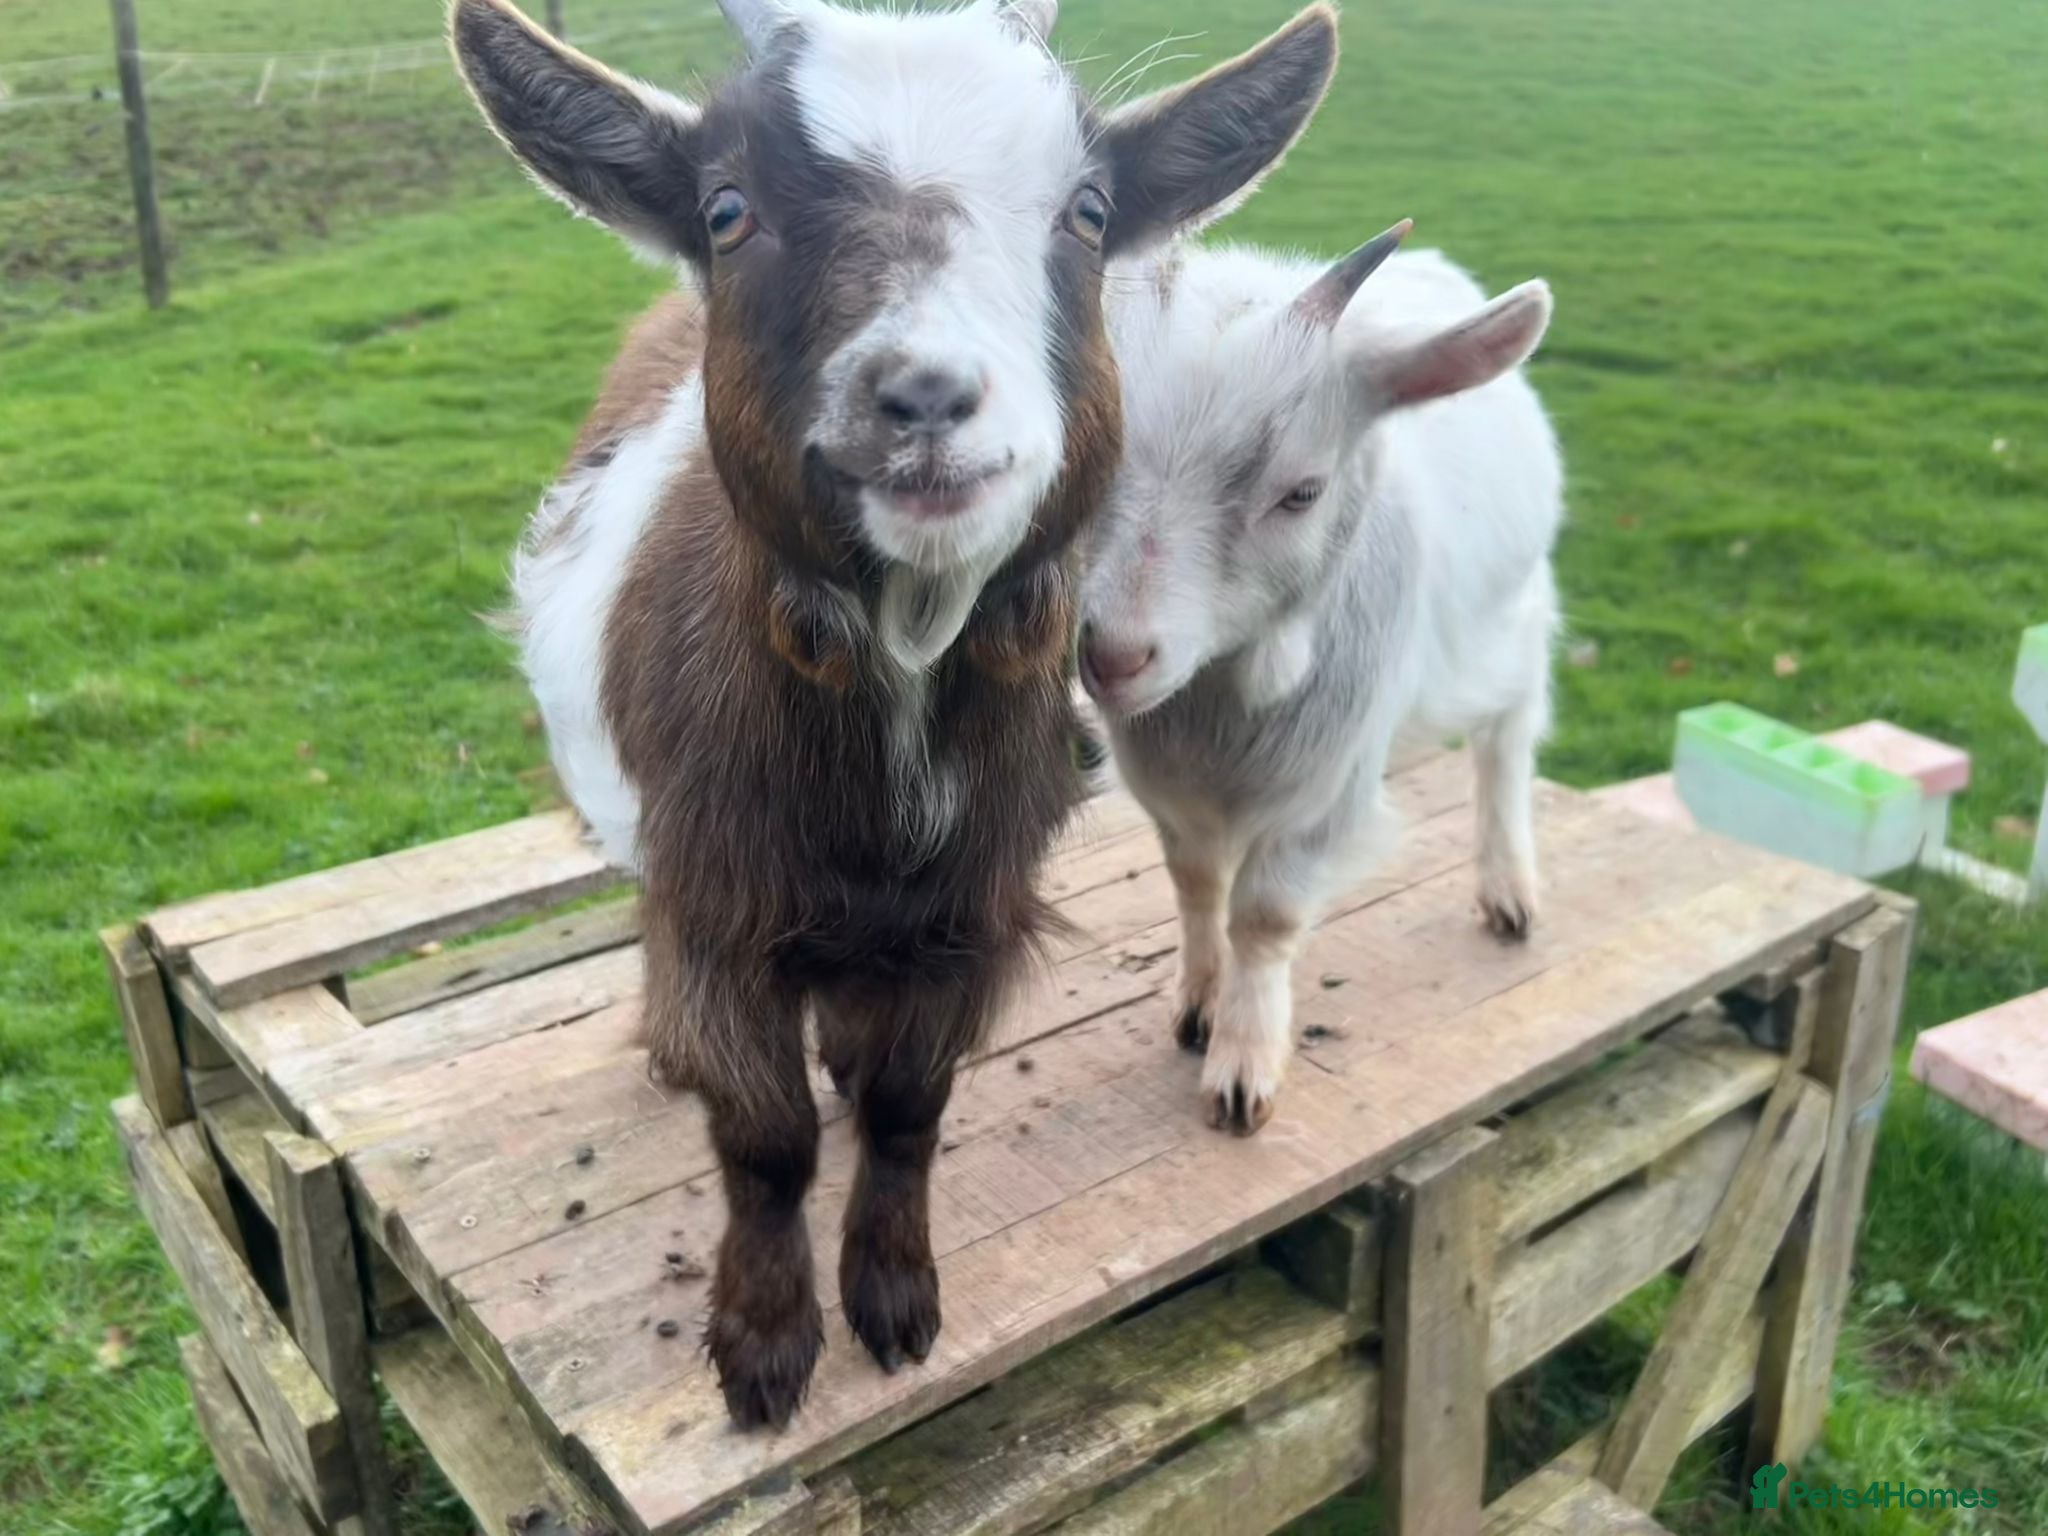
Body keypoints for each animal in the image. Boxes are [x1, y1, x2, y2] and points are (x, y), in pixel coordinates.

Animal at [449, 0, 1338, 1427]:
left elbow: (905, 1107)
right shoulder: (715, 908)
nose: (923, 398)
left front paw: (895, 1301)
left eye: (1087, 211)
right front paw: (762, 1348)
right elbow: (763, 1141)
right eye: (728, 210)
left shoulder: (967, 915)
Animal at [1077, 223, 1561, 1134]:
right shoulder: (1163, 781)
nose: (1113, 655)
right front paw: (1197, 1006)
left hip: (1514, 619)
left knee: (1510, 736)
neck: (1227, 688)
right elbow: (1195, 883)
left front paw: (1243, 1070)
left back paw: (1510, 887)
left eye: (1301, 492)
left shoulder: (1330, 777)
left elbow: (1265, 916)